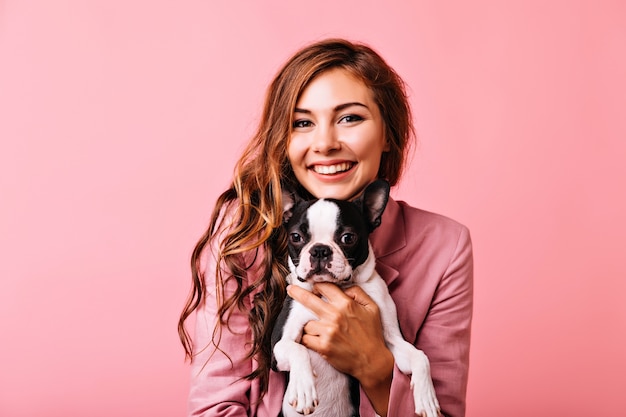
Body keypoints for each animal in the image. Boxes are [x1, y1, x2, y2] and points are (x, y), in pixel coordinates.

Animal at [270, 180, 438, 416]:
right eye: (296, 237)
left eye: (347, 238)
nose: (320, 250)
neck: (333, 290)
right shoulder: (277, 348)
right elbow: (298, 349)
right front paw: (304, 388)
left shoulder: (392, 341)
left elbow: (420, 357)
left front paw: (427, 398)